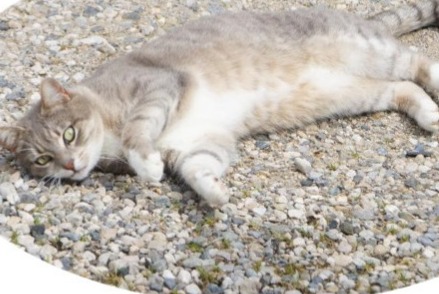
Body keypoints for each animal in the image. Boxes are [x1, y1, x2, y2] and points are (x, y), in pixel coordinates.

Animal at [0, 0, 439, 207]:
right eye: (42, 160)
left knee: (418, 63)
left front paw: (145, 164)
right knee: (401, 87)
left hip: (372, 51)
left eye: (68, 134)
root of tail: (367, 20)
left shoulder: (159, 85)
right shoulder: (195, 144)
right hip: (347, 93)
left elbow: (138, 129)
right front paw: (214, 193)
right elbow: (199, 168)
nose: (70, 167)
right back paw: (429, 114)